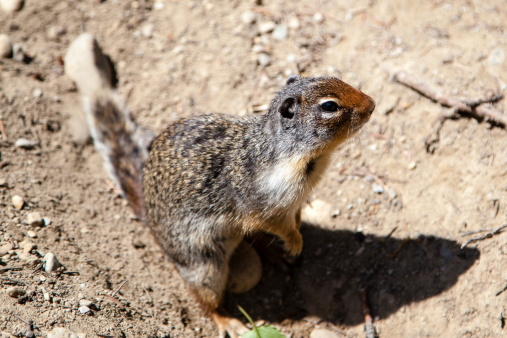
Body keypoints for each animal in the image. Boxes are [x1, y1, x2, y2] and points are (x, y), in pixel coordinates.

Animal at [65, 33, 376, 336]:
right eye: (329, 106)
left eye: (335, 78)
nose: (372, 104)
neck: (295, 153)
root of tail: (150, 219)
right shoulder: (264, 204)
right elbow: (280, 225)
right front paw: (295, 242)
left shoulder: (294, 201)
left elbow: (294, 217)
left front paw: (294, 236)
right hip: (204, 266)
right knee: (204, 299)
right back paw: (228, 321)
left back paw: (273, 254)